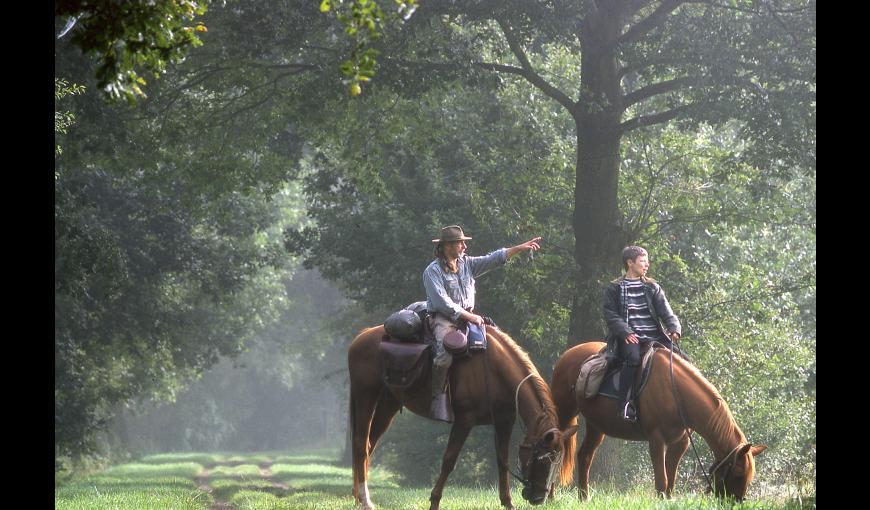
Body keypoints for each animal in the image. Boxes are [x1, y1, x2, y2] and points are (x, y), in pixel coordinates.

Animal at [348, 324, 580, 508]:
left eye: (558, 461)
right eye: (541, 458)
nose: (539, 498)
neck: (494, 370)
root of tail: (361, 338)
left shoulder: (504, 421)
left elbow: (502, 460)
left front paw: (507, 502)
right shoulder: (464, 421)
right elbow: (449, 460)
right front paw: (434, 500)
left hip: (389, 403)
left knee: (369, 444)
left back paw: (360, 498)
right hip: (365, 395)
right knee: (360, 444)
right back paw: (365, 501)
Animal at [556, 340, 768, 500]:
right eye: (739, 472)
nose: (737, 501)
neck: (676, 393)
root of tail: (567, 354)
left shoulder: (680, 442)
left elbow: (671, 480)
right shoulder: (657, 440)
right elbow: (661, 480)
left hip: (596, 426)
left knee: (584, 457)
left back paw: (584, 498)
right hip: (564, 412)